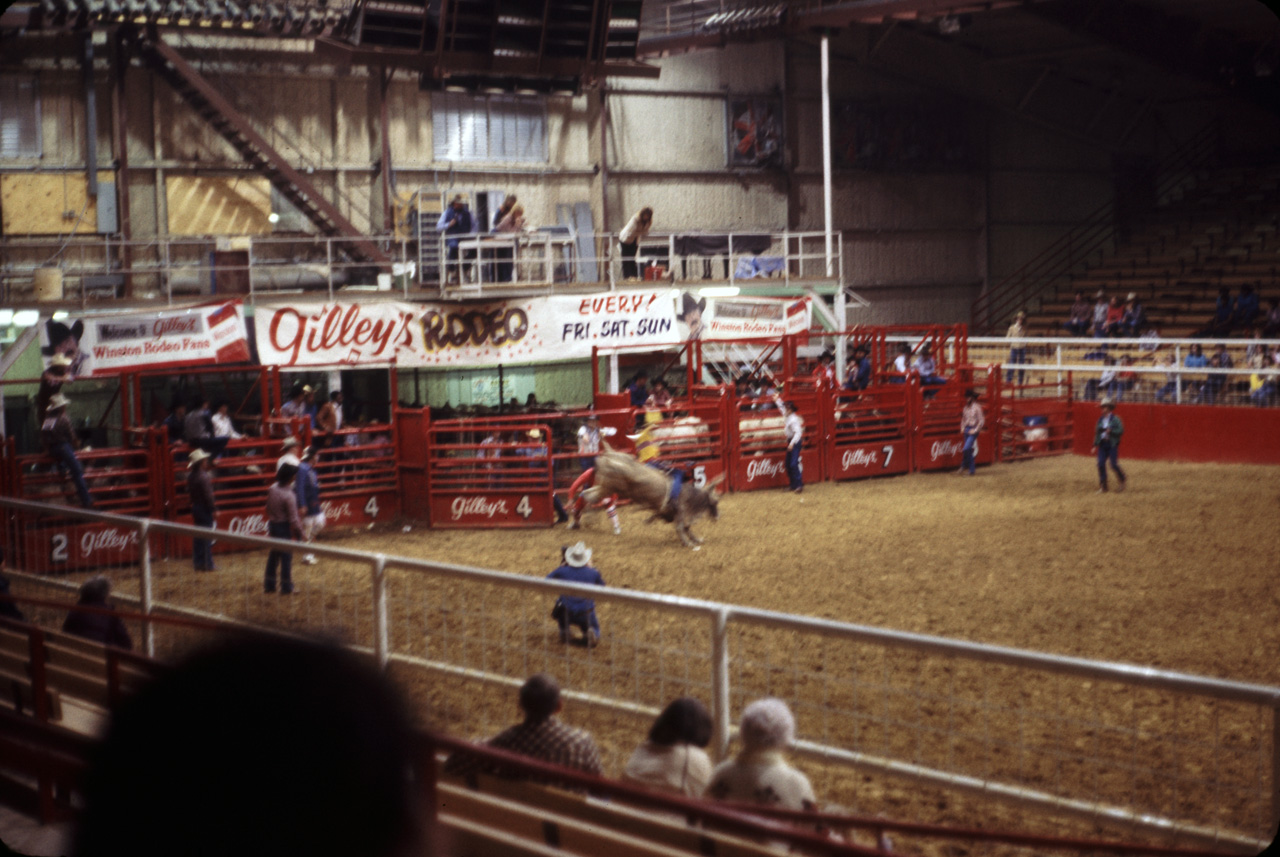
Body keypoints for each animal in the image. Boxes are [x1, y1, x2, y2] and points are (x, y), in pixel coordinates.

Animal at [568, 447, 721, 555]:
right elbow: (682, 527)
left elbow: (686, 528)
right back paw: (587, 518)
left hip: (604, 488)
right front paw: (689, 543)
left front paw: (696, 539)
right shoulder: (681, 511)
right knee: (591, 497)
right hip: (609, 487)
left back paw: (582, 520)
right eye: (715, 501)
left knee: (587, 494)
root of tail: (607, 457)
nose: (718, 516)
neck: (689, 494)